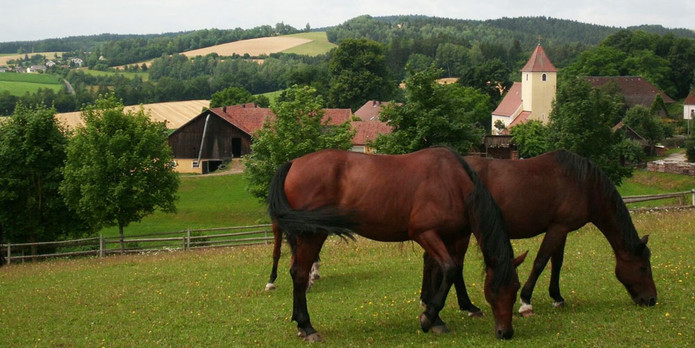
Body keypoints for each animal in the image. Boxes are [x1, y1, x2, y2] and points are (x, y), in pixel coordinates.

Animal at [270, 148, 528, 342]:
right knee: (300, 274)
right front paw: (428, 317)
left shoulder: (450, 237)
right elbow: (451, 269)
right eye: (495, 289)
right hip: (311, 235)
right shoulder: (425, 233)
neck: (452, 183)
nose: (506, 333)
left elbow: (441, 273)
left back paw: (301, 325)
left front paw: (436, 319)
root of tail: (293, 163)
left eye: (516, 288)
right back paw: (308, 327)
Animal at [418, 150, 656, 318]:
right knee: (453, 266)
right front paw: (525, 301)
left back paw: (428, 299)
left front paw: (557, 297)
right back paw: (467, 306)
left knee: (432, 261)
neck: (584, 184)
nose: (652, 300)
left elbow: (556, 262)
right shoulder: (557, 228)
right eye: (643, 268)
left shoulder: (562, 229)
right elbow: (541, 261)